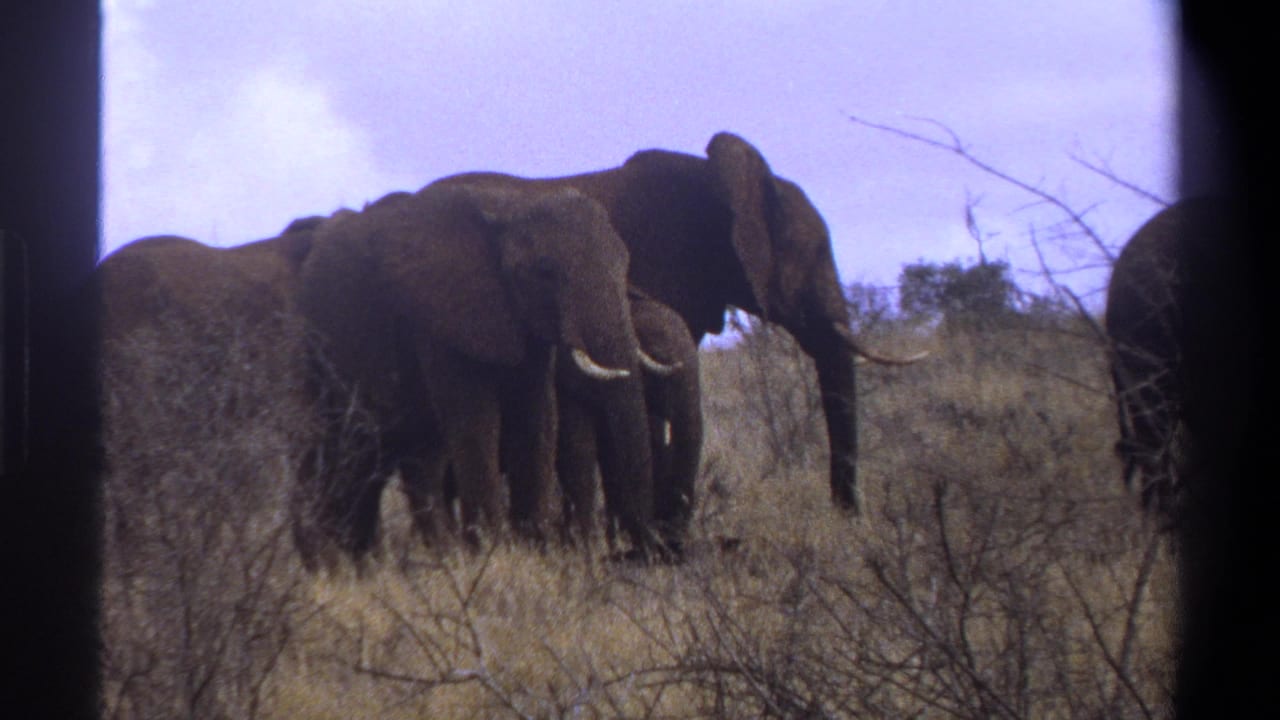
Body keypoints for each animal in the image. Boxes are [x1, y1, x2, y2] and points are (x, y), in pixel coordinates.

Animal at [291, 183, 654, 568]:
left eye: (625, 262)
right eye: (544, 270)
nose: (634, 552)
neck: (507, 207)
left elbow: (538, 419)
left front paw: (536, 550)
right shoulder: (439, 316)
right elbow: (476, 422)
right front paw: (495, 555)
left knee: (406, 460)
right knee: (345, 452)